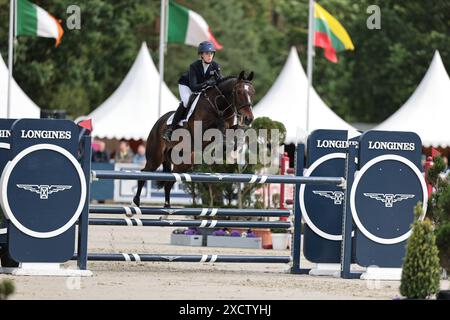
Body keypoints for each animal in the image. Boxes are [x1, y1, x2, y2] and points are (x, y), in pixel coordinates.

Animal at [132, 70, 255, 208]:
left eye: (253, 92)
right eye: (239, 92)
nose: (248, 119)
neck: (219, 105)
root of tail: (158, 122)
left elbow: (237, 129)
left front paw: (233, 144)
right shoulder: (200, 130)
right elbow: (220, 124)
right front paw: (225, 141)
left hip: (184, 163)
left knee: (169, 183)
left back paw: (167, 207)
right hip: (155, 157)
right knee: (144, 173)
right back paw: (136, 201)